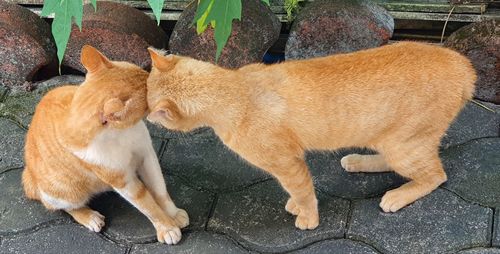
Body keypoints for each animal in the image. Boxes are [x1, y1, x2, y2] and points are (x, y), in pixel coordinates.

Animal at [22, 45, 189, 244]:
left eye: (145, 73)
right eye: (147, 98)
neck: (120, 135)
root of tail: (29, 175)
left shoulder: (147, 156)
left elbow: (160, 190)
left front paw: (173, 214)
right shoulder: (124, 183)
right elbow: (149, 206)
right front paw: (166, 227)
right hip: (66, 192)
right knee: (64, 206)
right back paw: (89, 216)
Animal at [146, 42, 476, 230]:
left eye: (148, 105)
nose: (146, 117)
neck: (236, 90)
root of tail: (465, 66)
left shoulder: (287, 162)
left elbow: (303, 190)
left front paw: (308, 216)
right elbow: (297, 191)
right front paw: (296, 204)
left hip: (404, 147)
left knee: (435, 175)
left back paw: (398, 195)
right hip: (389, 140)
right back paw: (359, 161)